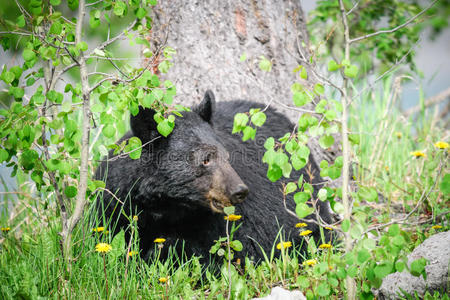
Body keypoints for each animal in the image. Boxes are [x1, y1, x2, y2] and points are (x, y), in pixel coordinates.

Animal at [96, 91, 334, 262]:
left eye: (226, 156)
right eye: (205, 159)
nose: (240, 191)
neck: (166, 205)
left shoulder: (225, 224)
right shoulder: (116, 200)